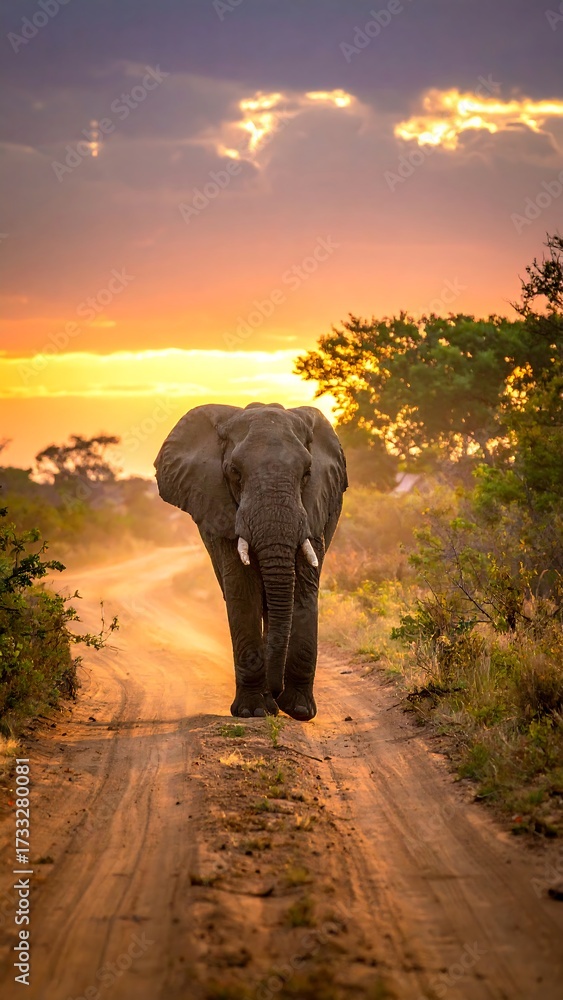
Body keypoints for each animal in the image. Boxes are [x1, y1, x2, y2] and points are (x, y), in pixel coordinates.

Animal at [154, 402, 347, 721]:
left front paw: (299, 709)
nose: (277, 694)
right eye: (234, 472)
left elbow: (303, 591)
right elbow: (243, 592)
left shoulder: (314, 511)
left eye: (307, 472)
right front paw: (254, 711)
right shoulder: (222, 510)